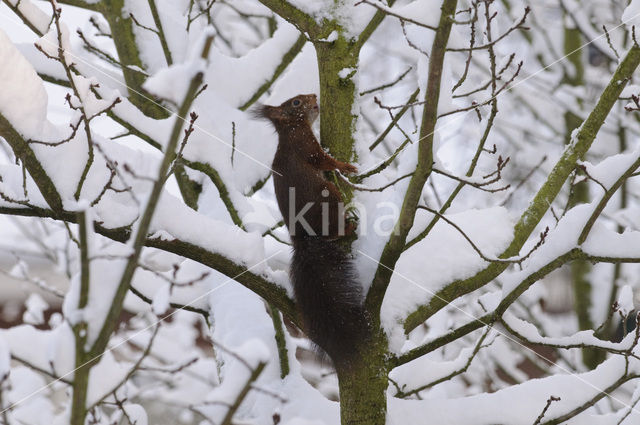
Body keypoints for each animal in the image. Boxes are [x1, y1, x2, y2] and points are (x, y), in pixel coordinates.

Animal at [252, 94, 368, 366]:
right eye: (295, 103)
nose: (314, 96)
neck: (291, 130)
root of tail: (304, 239)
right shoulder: (306, 146)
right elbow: (323, 160)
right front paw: (345, 167)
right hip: (330, 195)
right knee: (335, 229)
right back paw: (349, 227)